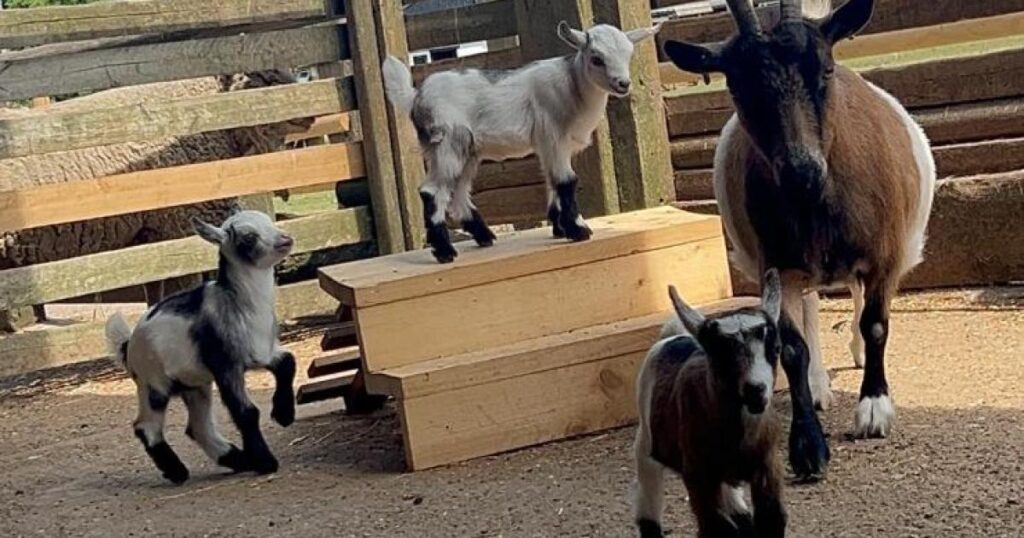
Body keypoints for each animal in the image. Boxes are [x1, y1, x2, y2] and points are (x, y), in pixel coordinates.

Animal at [104, 210, 297, 484]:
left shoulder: (262, 353)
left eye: (270, 222)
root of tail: (129, 343)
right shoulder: (226, 366)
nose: (285, 239)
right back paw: (177, 471)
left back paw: (237, 459)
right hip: (153, 384)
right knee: (147, 427)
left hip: (195, 385)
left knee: (198, 427)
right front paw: (266, 462)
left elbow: (288, 362)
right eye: (248, 237)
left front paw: (284, 415)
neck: (240, 306)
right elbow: (246, 412)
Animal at [382, 21, 660, 263]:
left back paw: (484, 236)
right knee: (432, 191)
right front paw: (578, 230)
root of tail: (416, 97)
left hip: (467, 151)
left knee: (458, 191)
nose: (623, 84)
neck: (573, 88)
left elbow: (552, 182)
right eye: (596, 58)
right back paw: (445, 252)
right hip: (448, 143)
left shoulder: (550, 145)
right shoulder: (553, 137)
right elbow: (567, 181)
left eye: (629, 54)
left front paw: (560, 227)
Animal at [634, 269, 786, 538]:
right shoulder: (698, 476)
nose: (755, 390)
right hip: (646, 444)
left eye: (776, 349)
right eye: (720, 355)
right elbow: (717, 528)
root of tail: (673, 337)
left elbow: (771, 520)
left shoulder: (767, 465)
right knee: (648, 505)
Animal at [663, 0, 936, 479]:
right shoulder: (779, 265)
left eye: (825, 68)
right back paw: (819, 385)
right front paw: (807, 444)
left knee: (856, 296)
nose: (801, 173)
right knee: (811, 304)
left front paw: (874, 410)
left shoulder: (884, 255)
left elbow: (876, 324)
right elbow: (791, 347)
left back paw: (856, 354)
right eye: (737, 84)